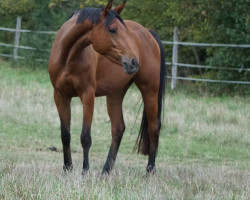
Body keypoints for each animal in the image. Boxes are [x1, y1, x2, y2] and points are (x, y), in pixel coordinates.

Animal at [48, 0, 166, 175]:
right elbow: (65, 135)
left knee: (154, 127)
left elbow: (85, 137)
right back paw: (106, 170)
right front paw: (67, 168)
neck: (68, 57)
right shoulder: (60, 95)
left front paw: (85, 171)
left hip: (149, 91)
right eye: (112, 29)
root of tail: (149, 34)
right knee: (118, 128)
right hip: (115, 94)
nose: (133, 61)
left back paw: (149, 171)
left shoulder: (87, 95)